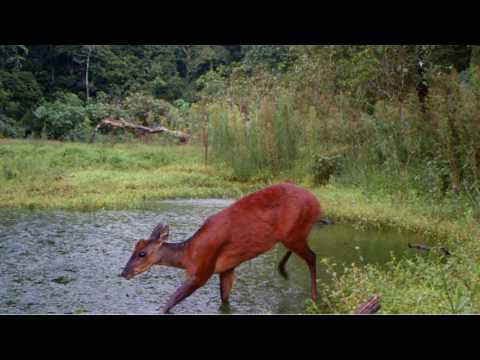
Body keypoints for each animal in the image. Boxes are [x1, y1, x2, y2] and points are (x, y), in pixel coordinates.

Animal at [121, 183, 322, 312]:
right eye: (133, 249)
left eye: (142, 253)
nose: (124, 273)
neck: (188, 255)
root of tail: (317, 202)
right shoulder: (227, 268)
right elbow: (225, 300)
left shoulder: (203, 270)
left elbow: (170, 301)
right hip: (294, 234)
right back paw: (284, 271)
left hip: (294, 232)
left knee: (312, 256)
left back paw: (314, 298)